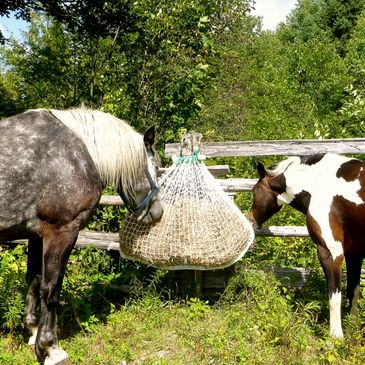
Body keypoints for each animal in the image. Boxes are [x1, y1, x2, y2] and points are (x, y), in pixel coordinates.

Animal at [246, 152, 364, 336]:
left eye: (254, 191)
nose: (250, 219)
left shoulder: (331, 253)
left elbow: (334, 296)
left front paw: (336, 336)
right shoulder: (354, 253)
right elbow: (353, 290)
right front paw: (352, 327)